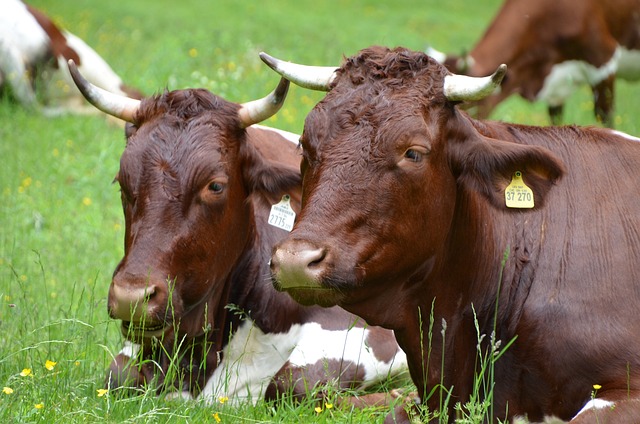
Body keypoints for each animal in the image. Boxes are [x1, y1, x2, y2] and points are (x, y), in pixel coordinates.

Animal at [67, 61, 408, 410]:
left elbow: (291, 383)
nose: (131, 298)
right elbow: (118, 374)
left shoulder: (366, 331)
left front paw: (400, 397)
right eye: (122, 182)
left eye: (215, 185)